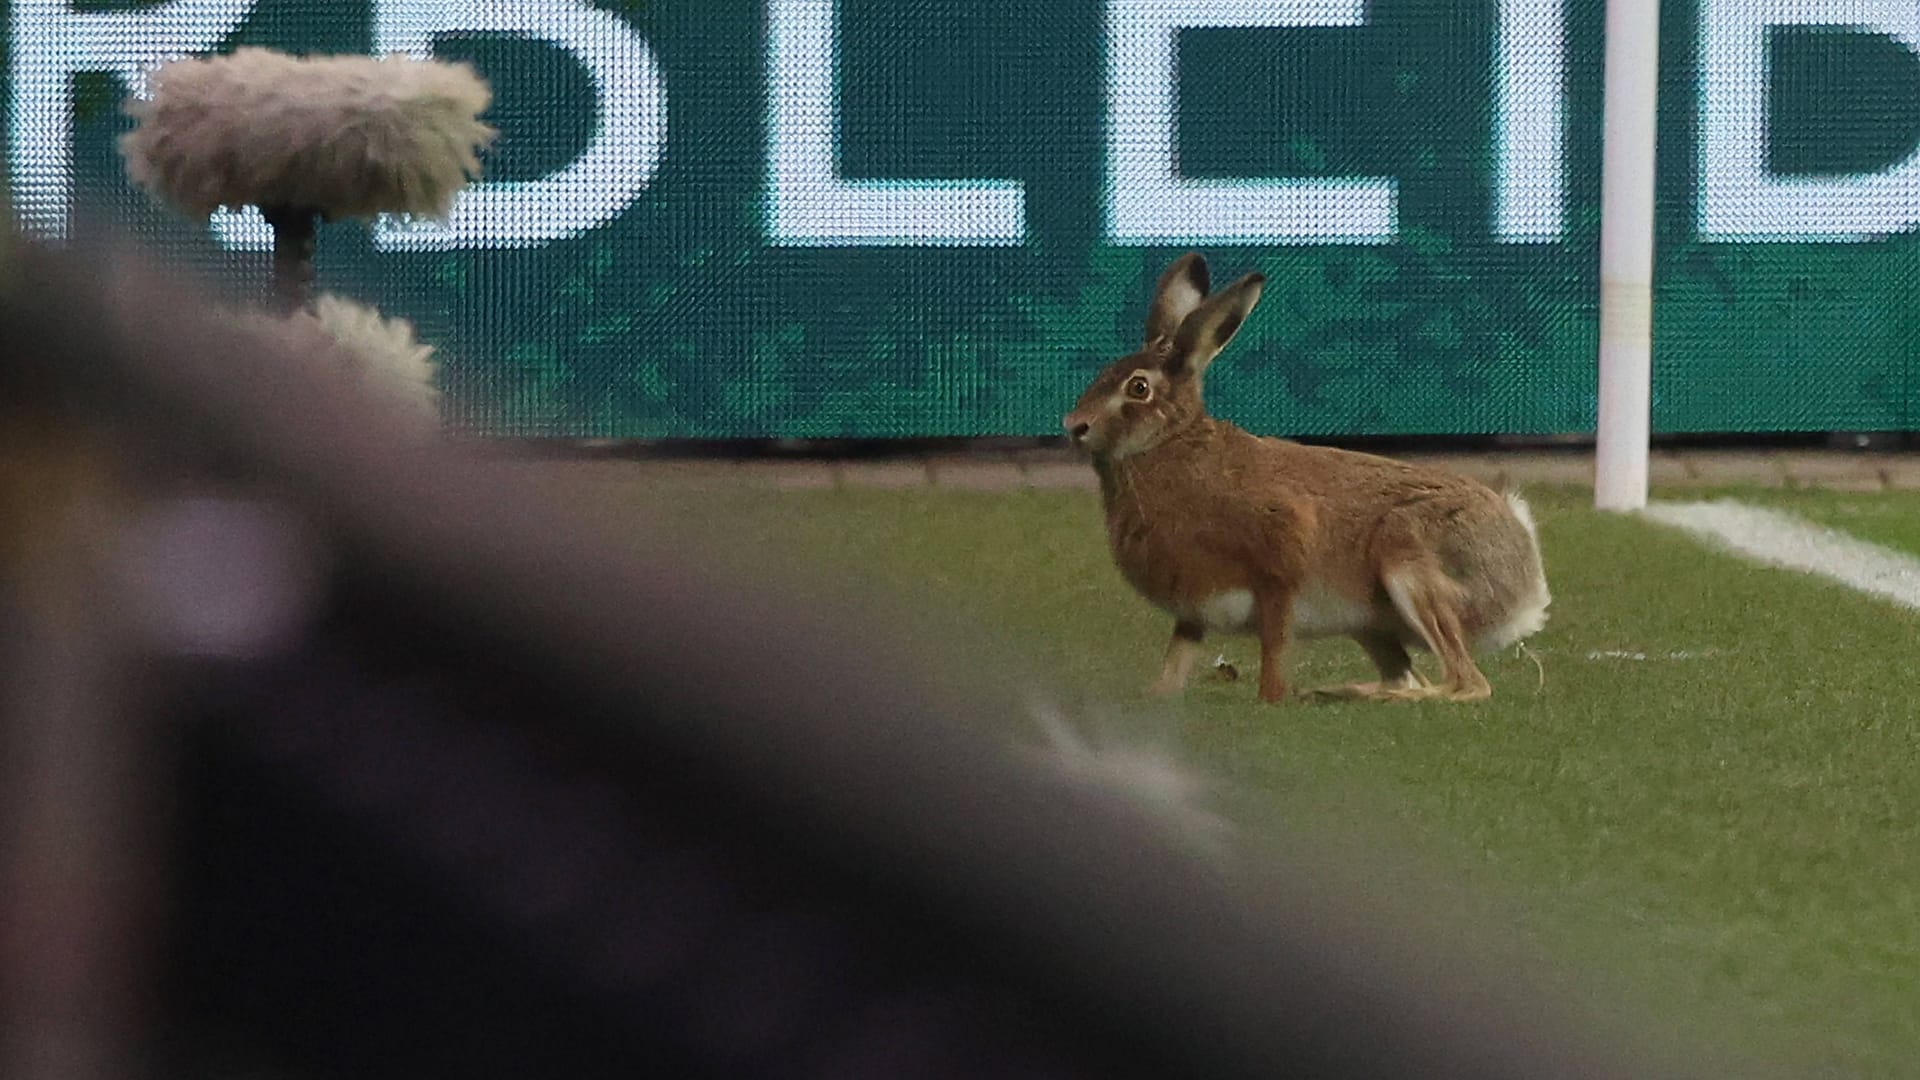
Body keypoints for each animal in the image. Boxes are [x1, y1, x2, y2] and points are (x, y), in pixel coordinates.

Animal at [1062, 253, 1550, 704]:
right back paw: (1345, 691)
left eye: (1138, 388)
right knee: (1412, 673)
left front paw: (1271, 698)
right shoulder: (1193, 607)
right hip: (1370, 624)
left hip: (1410, 562)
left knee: (1465, 683)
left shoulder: (1279, 565)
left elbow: (1275, 646)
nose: (1074, 425)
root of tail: (1525, 576)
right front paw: (1158, 693)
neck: (1169, 444)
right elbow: (1177, 656)